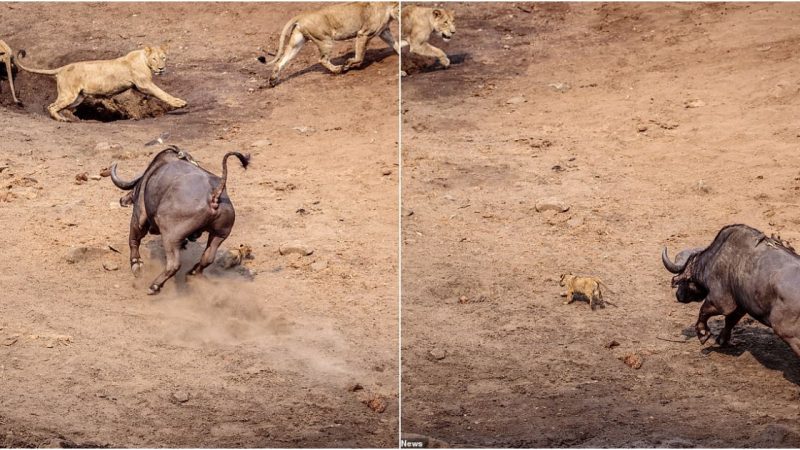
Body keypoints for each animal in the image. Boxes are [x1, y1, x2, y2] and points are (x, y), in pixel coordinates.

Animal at [111, 147, 250, 296]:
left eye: (134, 190)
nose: (122, 200)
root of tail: (214, 195)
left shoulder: (139, 216)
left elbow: (133, 240)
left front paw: (136, 264)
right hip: (219, 235)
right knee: (207, 258)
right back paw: (192, 273)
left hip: (170, 236)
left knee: (174, 264)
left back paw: (155, 286)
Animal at [664, 223, 800, 356]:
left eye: (683, 281)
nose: (678, 295)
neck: (713, 259)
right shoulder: (741, 305)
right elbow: (730, 320)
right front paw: (722, 340)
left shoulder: (720, 302)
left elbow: (704, 311)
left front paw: (702, 334)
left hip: (786, 332)